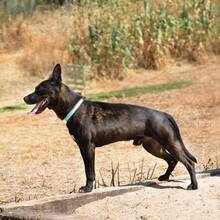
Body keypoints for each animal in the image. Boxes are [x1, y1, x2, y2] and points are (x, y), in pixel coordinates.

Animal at [23, 64, 198, 192]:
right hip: (153, 146)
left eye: (39, 90)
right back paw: (165, 177)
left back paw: (193, 185)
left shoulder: (88, 147)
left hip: (169, 142)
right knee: (172, 159)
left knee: (188, 162)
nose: (24, 98)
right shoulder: (82, 148)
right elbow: (87, 169)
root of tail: (164, 114)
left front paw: (88, 188)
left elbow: (90, 171)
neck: (73, 107)